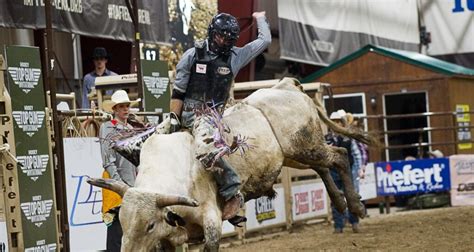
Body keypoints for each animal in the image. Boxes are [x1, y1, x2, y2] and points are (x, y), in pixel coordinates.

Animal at [86, 78, 374, 251]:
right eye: (123, 222)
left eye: (149, 225)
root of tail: (287, 85)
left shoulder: (211, 219)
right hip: (297, 156)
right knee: (325, 166)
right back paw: (340, 203)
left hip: (306, 147)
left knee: (339, 156)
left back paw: (356, 206)